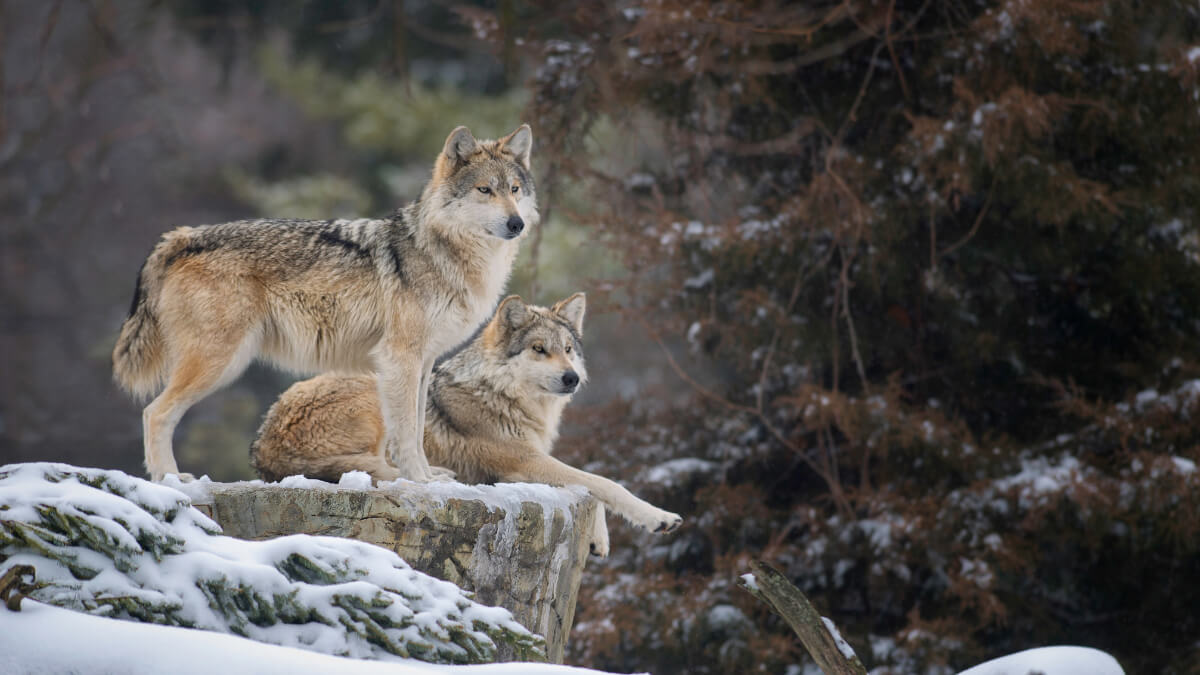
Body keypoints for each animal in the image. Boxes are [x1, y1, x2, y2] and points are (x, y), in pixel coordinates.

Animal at [113, 125, 536, 482]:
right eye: (485, 190)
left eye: (515, 189)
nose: (517, 224)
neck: (446, 253)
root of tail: (184, 236)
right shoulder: (400, 358)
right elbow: (405, 434)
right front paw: (419, 481)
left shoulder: (424, 361)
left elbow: (417, 430)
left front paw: (429, 477)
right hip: (220, 362)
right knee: (154, 413)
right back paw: (169, 479)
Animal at [250, 293, 683, 555]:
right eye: (538, 349)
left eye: (568, 349)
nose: (571, 378)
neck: (503, 395)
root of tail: (263, 446)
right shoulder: (523, 462)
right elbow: (603, 483)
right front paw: (659, 517)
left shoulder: (527, 465)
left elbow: (589, 485)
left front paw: (598, 539)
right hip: (379, 391)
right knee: (387, 469)